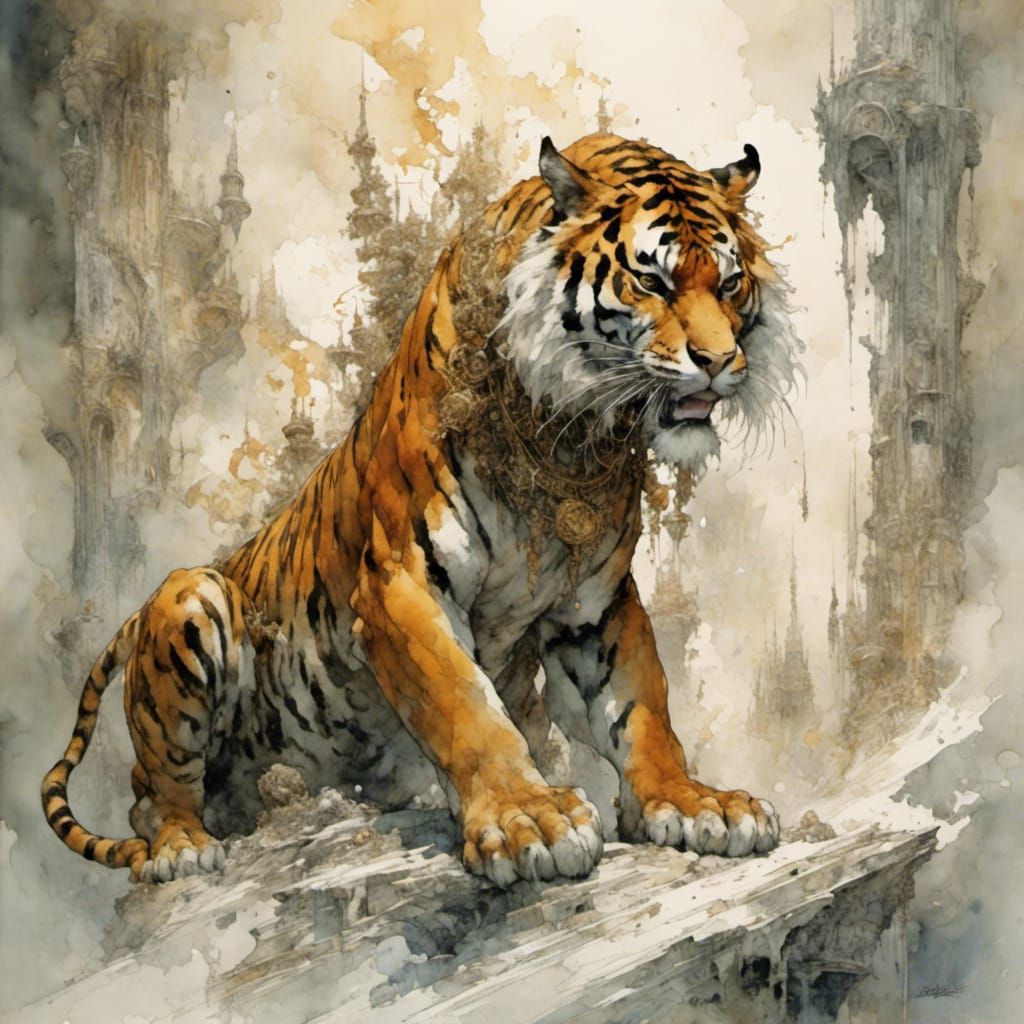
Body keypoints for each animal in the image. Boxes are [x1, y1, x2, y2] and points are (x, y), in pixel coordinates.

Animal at [43, 133, 794, 887]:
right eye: (653, 282)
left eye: (729, 284)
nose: (719, 361)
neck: (572, 437)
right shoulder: (402, 579)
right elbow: (466, 705)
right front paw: (528, 819)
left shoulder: (596, 603)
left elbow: (641, 710)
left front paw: (692, 800)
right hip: (192, 596)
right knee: (152, 791)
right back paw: (181, 846)